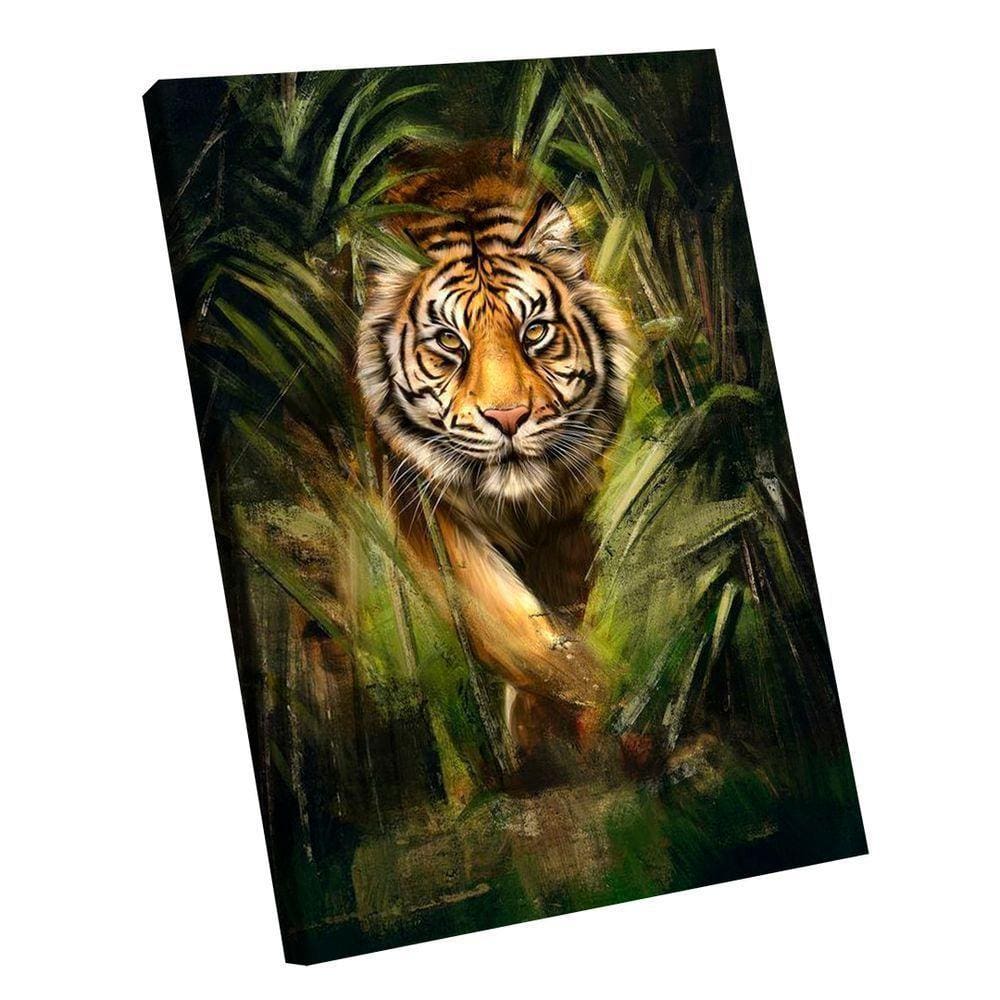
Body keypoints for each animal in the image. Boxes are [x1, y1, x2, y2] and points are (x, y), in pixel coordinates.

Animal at [357, 146, 634, 759]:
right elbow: (503, 620)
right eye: (449, 342)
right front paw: (592, 690)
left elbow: (556, 606)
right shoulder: (424, 508)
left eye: (534, 332)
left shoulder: (570, 509)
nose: (508, 418)